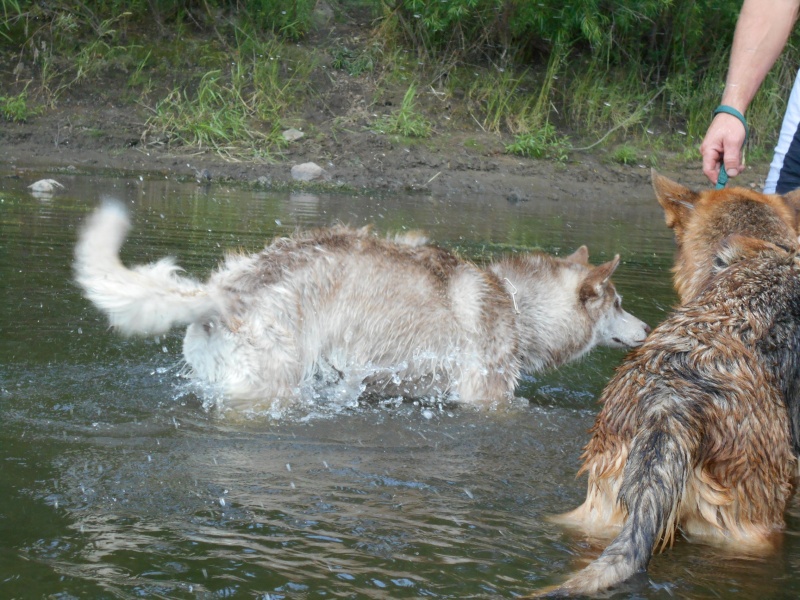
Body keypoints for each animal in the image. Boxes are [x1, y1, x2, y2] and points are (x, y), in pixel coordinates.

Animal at [75, 203, 648, 412]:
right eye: (619, 303)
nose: (646, 327)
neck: (515, 302)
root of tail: (228, 289)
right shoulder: (484, 397)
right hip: (271, 387)